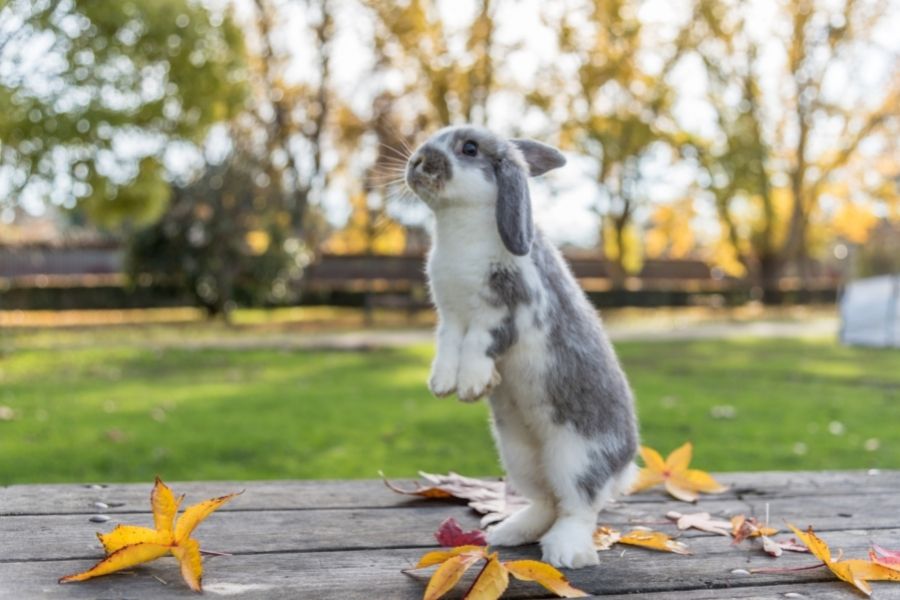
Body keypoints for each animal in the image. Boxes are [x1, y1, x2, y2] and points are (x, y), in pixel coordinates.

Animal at [404, 125, 636, 568]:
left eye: (469, 148)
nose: (418, 162)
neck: (461, 225)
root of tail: (625, 465)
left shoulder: (504, 311)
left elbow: (479, 345)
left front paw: (471, 385)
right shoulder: (449, 318)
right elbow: (448, 347)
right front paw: (442, 385)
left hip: (576, 457)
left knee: (578, 506)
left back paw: (566, 553)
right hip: (520, 456)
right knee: (547, 502)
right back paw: (506, 532)